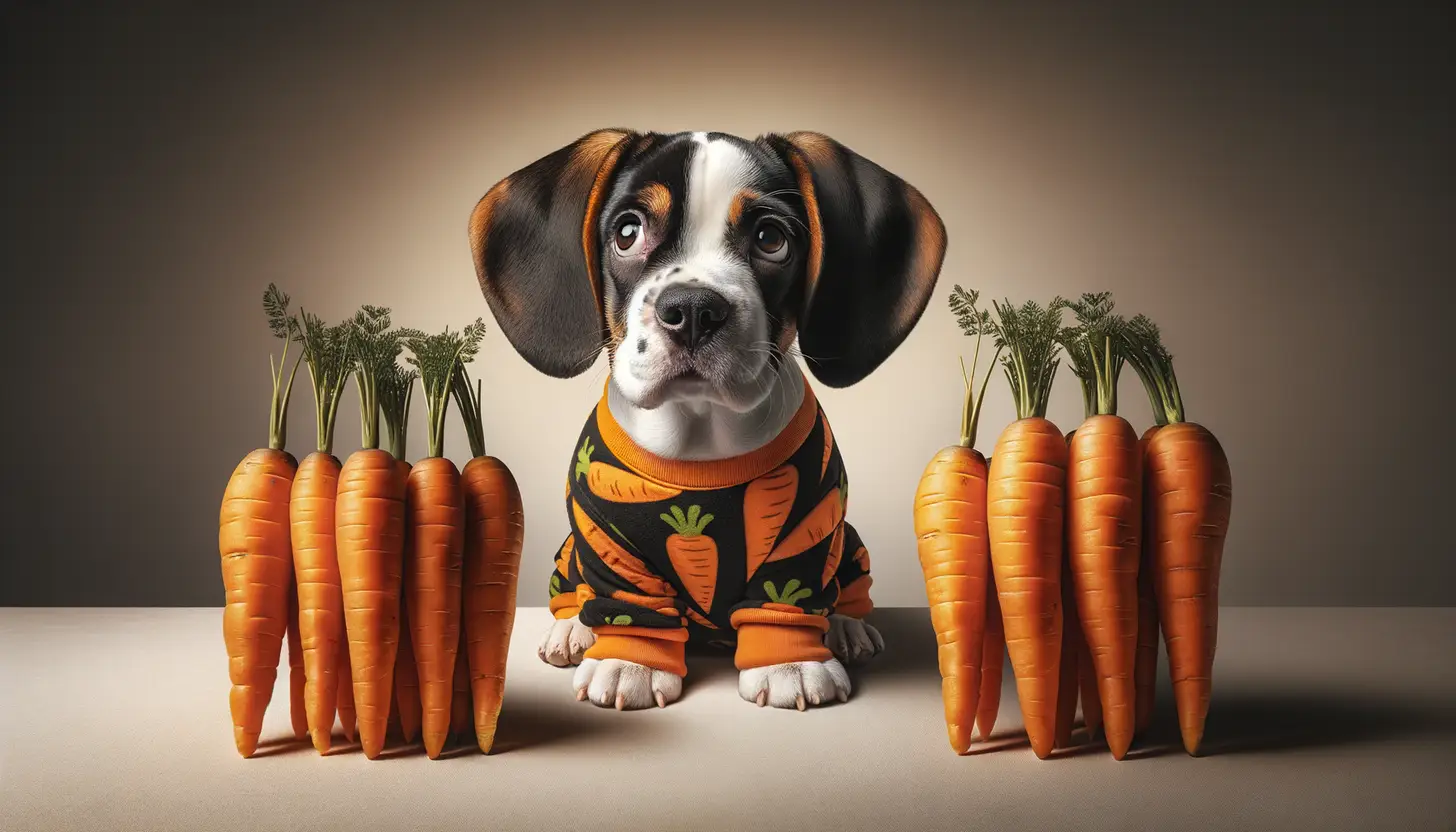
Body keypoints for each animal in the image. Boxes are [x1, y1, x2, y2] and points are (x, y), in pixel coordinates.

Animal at [465, 128, 943, 711]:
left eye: (770, 238)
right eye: (627, 232)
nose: (693, 308)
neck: (698, 442)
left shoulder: (806, 529)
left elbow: (789, 597)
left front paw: (791, 661)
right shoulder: (608, 542)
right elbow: (629, 605)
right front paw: (629, 661)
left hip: (846, 537)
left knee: (848, 585)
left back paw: (847, 627)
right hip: (570, 549)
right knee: (571, 585)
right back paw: (571, 629)